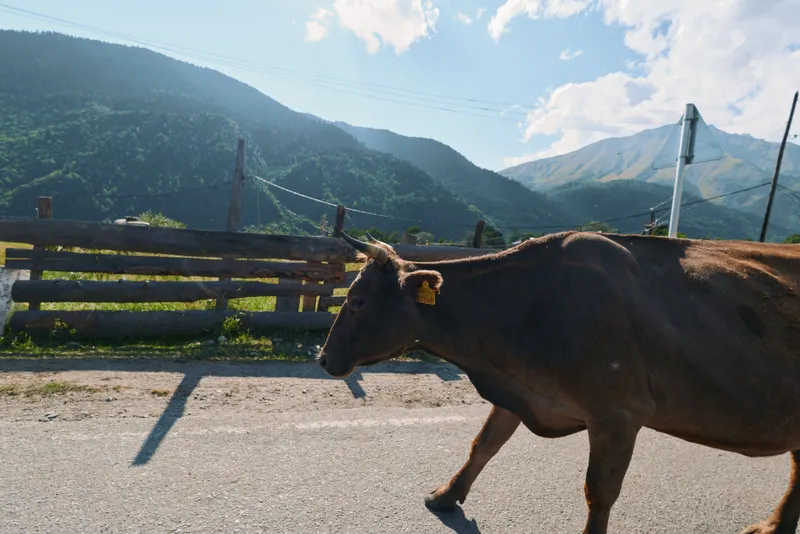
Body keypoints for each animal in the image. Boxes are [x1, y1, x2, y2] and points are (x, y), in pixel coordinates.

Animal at [317, 230, 800, 534]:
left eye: (357, 301)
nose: (322, 358)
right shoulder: (519, 390)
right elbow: (483, 444)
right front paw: (446, 495)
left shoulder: (619, 413)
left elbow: (599, 492)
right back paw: (775, 526)